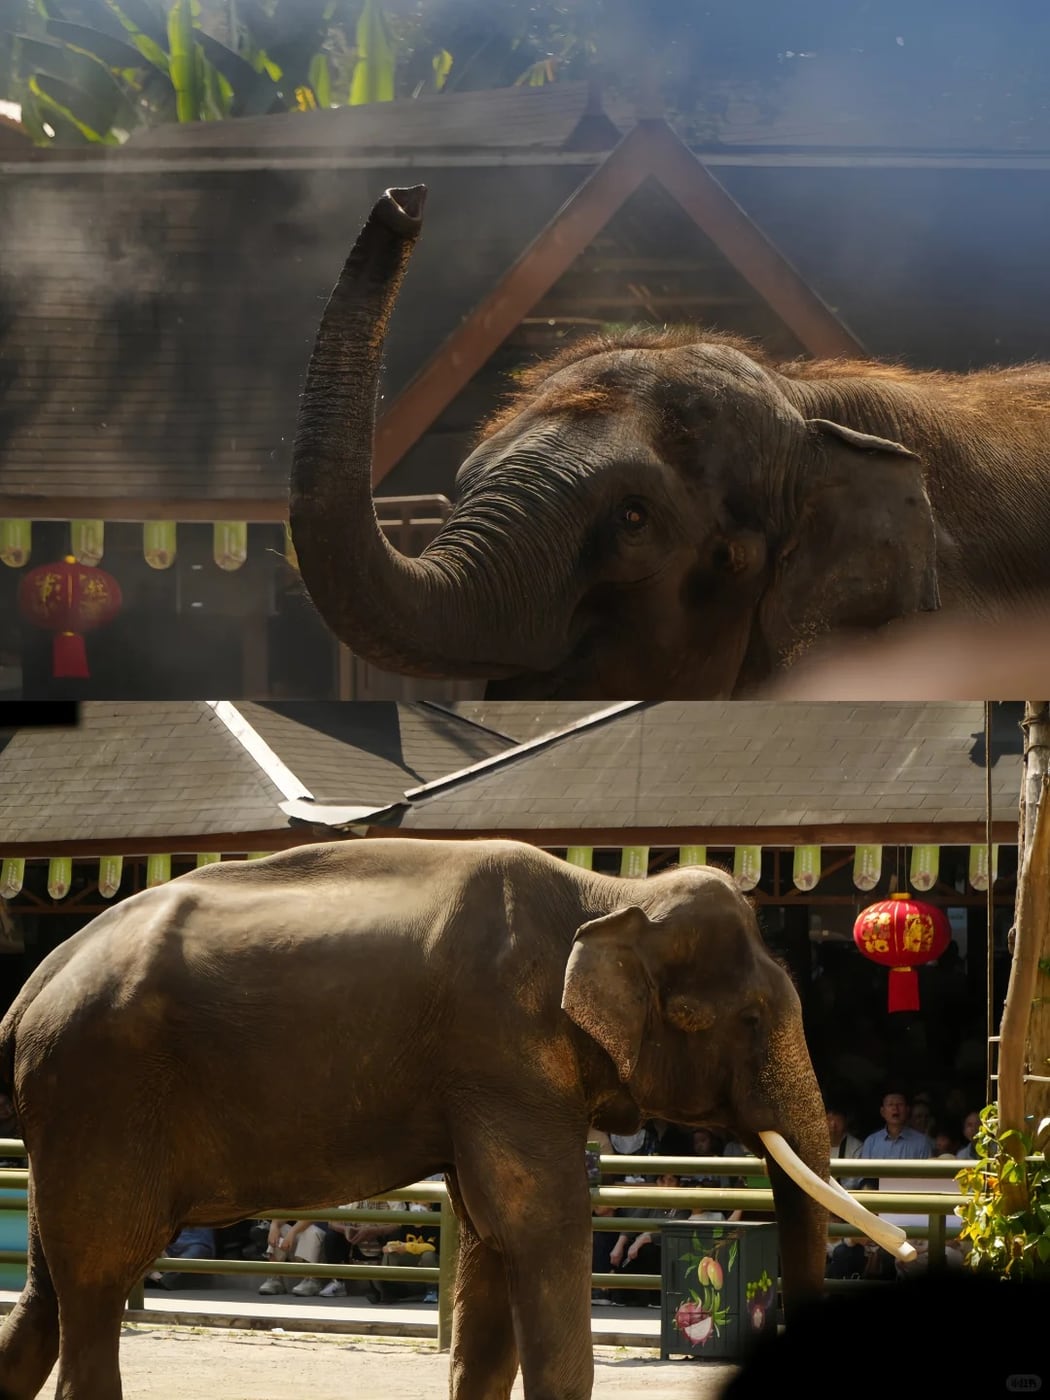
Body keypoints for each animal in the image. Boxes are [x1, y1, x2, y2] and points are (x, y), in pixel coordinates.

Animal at [0, 838, 904, 1399]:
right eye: (748, 1019)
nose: (897, 1246)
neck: (612, 896)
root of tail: (32, 986)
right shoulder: (501, 1051)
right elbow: (541, 1223)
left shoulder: (489, 1080)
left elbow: (491, 1239)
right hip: (101, 1094)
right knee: (98, 1278)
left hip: (73, 1115)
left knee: (47, 1291)